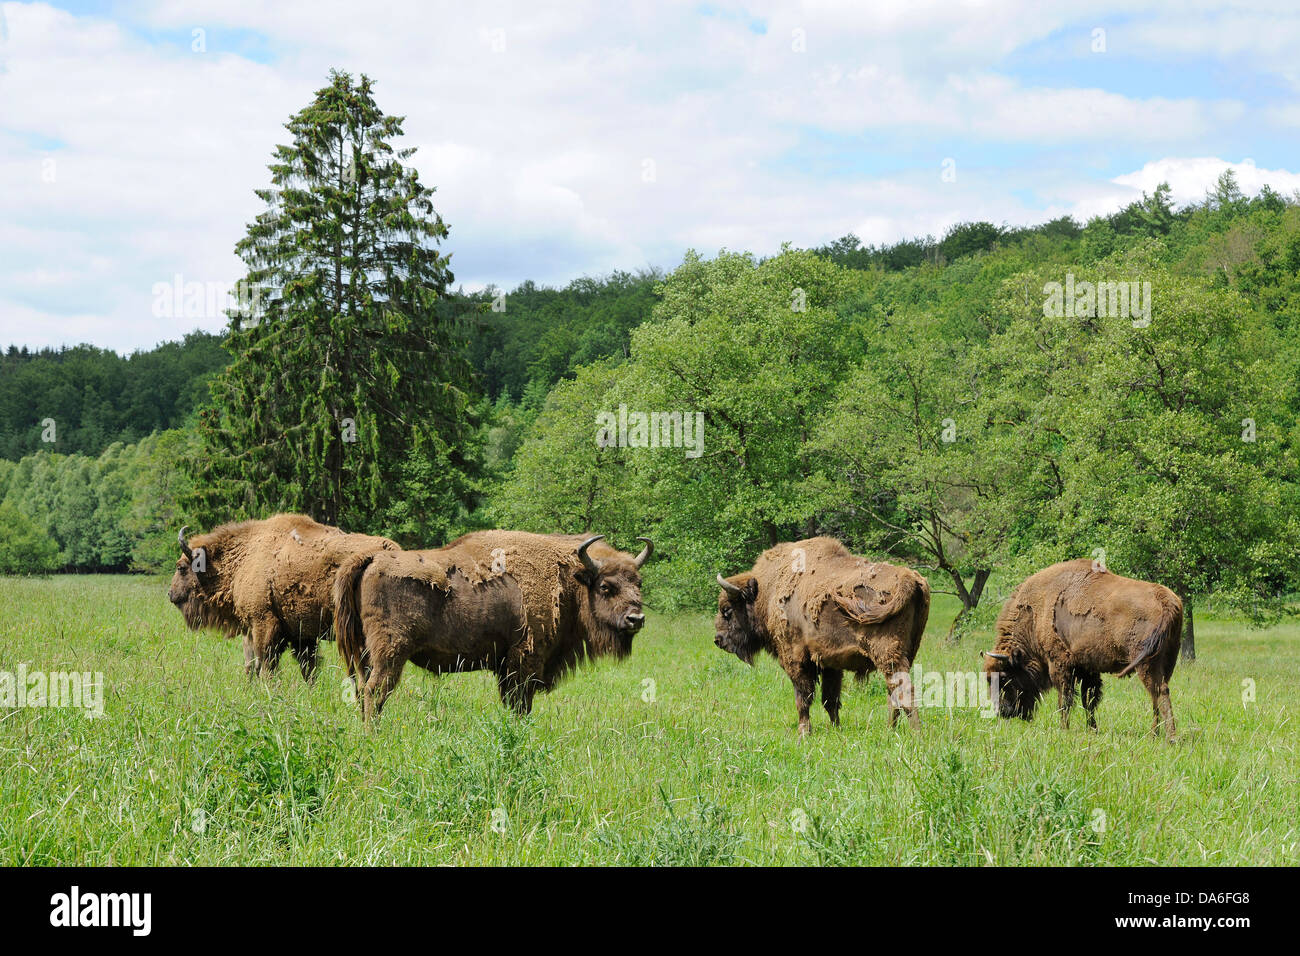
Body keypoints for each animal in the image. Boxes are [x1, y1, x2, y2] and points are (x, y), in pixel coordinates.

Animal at [170, 515, 397, 681]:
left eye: (181, 568)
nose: (171, 594)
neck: (245, 556)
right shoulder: (301, 636)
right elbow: (307, 668)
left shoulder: (263, 623)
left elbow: (265, 663)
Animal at [335, 528, 650, 723]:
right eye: (606, 587)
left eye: (638, 583)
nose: (636, 619)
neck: (569, 580)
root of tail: (372, 558)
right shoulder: (524, 661)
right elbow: (520, 705)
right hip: (390, 652)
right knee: (375, 691)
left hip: (365, 654)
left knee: (363, 690)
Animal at [712, 538, 935, 733]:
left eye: (727, 610)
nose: (718, 640)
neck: (767, 592)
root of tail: (908, 578)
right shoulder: (830, 664)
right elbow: (830, 700)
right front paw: (836, 729)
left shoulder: (795, 659)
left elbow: (803, 698)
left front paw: (803, 732)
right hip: (907, 652)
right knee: (893, 694)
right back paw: (891, 731)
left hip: (887, 654)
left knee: (904, 692)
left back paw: (915, 735)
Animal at [977, 561, 1185, 738]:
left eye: (1004, 677)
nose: (1002, 712)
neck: (1035, 613)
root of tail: (1165, 599)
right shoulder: (1088, 669)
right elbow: (1089, 700)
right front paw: (1092, 729)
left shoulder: (1059, 664)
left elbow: (1065, 699)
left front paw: (1063, 729)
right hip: (1166, 663)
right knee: (1157, 694)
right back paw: (1156, 734)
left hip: (1147, 664)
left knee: (1159, 692)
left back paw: (1168, 737)